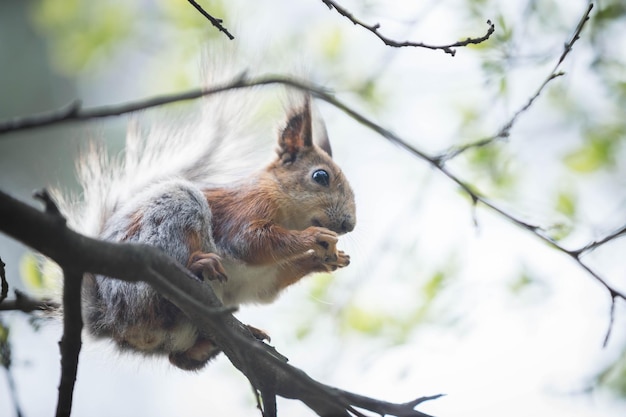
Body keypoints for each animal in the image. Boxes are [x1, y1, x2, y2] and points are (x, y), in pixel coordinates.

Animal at [58, 83, 356, 368]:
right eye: (320, 176)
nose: (349, 224)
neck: (288, 212)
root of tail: (107, 317)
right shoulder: (245, 210)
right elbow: (250, 242)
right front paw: (314, 237)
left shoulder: (262, 277)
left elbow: (266, 286)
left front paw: (327, 259)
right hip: (170, 222)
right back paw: (197, 265)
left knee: (178, 359)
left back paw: (219, 342)